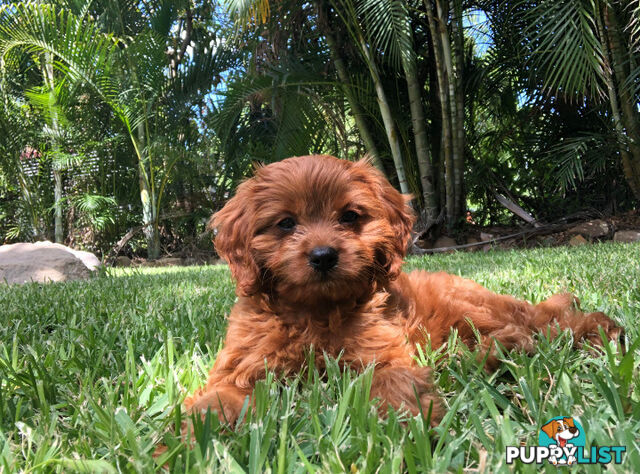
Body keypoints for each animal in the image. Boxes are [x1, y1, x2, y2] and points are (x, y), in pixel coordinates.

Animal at [186, 154, 624, 424]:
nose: (324, 256)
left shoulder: (386, 354)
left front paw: (400, 426)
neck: (316, 311)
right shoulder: (241, 367)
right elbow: (217, 399)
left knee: (549, 323)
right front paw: (190, 437)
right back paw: (498, 353)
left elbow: (393, 381)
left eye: (350, 216)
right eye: (285, 223)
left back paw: (593, 330)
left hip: (469, 307)